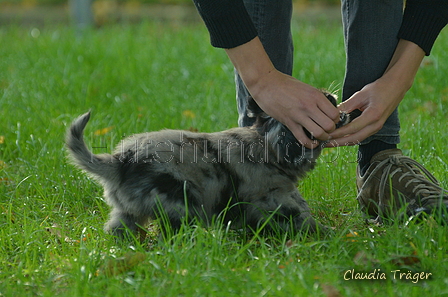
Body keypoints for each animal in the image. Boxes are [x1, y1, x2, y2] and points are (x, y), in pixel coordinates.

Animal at [66, 93, 358, 238]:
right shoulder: (274, 199)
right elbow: (300, 217)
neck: (266, 143)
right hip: (181, 203)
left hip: (126, 211)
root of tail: (120, 162)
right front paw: (329, 235)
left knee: (118, 228)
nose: (332, 95)